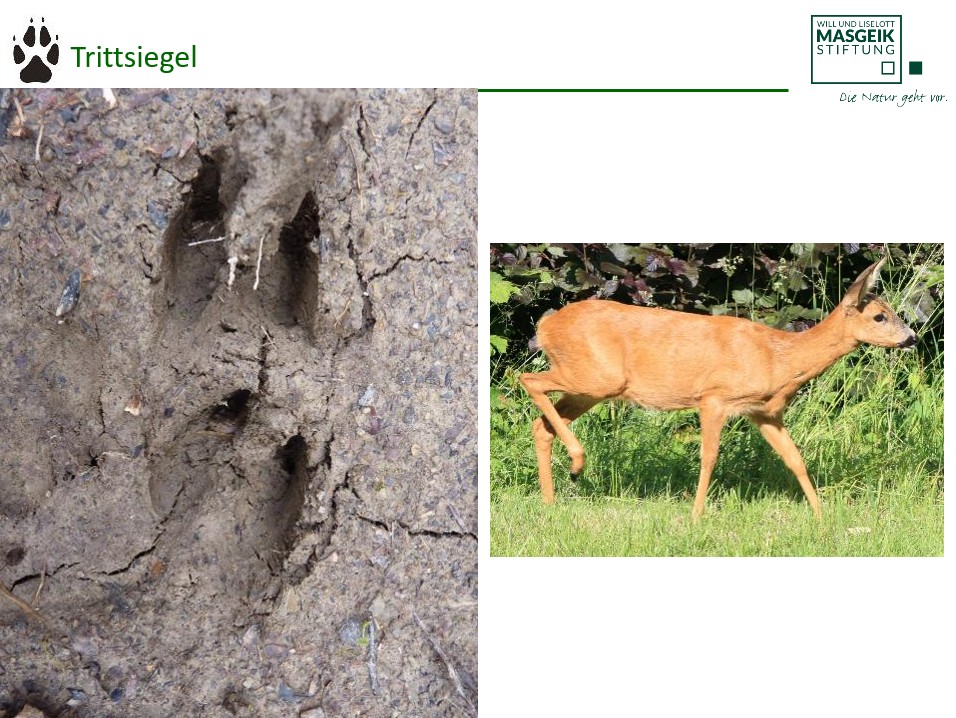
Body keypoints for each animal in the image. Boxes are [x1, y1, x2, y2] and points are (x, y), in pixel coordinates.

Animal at [519, 258, 916, 520]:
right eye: (879, 316)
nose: (911, 338)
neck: (779, 358)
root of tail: (545, 325)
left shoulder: (765, 412)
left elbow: (795, 459)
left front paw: (822, 517)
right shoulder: (713, 397)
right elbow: (709, 457)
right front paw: (696, 515)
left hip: (589, 386)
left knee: (542, 425)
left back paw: (550, 502)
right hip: (596, 376)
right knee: (526, 379)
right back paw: (576, 462)